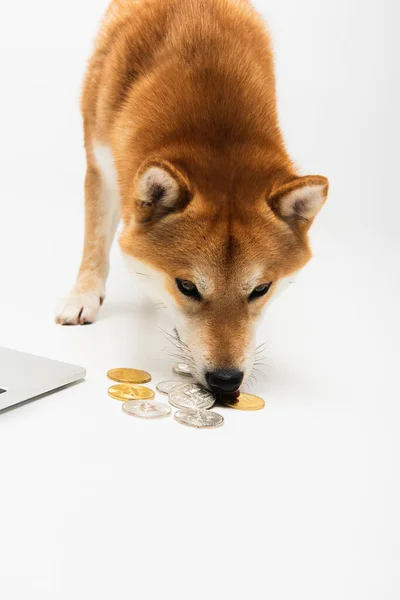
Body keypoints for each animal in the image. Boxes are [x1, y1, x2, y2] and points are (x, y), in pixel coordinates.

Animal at [56, 1, 328, 398]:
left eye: (261, 289)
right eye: (187, 287)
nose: (226, 381)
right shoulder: (101, 165)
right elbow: (95, 245)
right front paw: (83, 297)